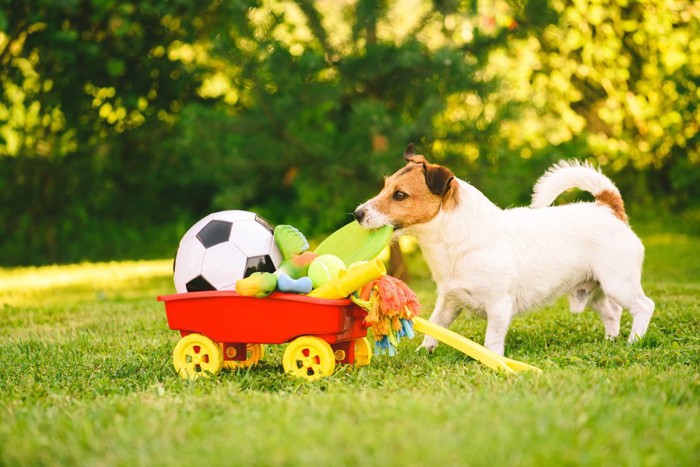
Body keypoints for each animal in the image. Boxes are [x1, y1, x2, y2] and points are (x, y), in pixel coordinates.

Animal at [356, 144, 656, 356]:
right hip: (592, 289)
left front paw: (493, 361)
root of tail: (609, 208)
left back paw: (634, 341)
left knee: (644, 306)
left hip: (619, 283)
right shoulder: (449, 301)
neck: (455, 241)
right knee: (612, 312)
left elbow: (492, 340)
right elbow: (436, 326)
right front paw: (424, 351)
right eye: (384, 186)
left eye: (400, 195)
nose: (358, 214)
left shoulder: (499, 306)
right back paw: (610, 340)